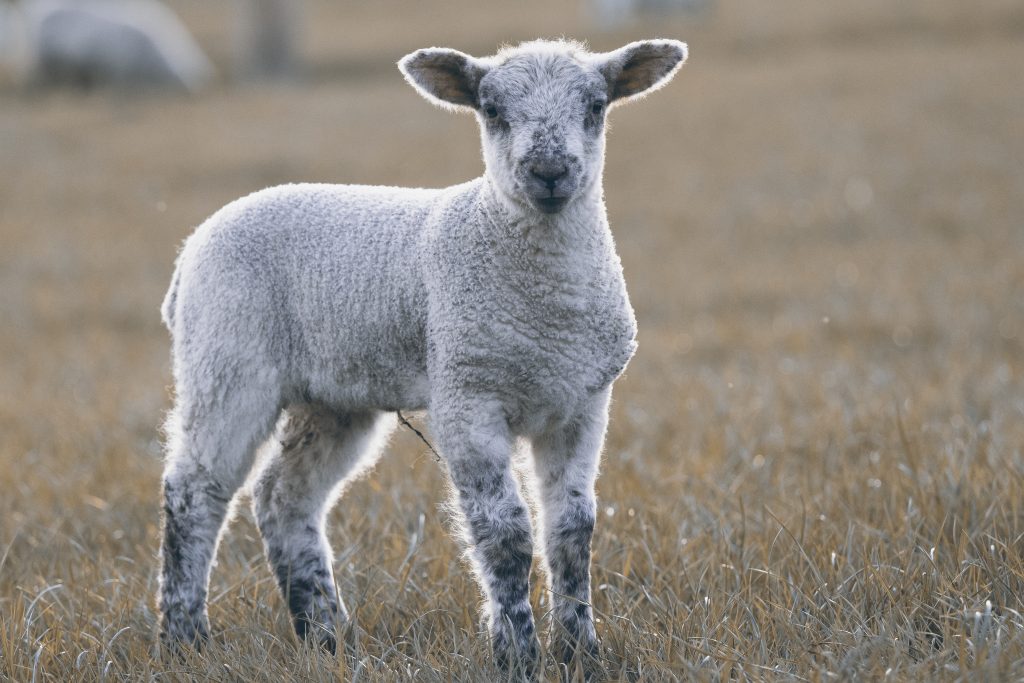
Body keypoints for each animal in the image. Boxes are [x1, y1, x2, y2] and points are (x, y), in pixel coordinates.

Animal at [157, 38, 687, 673]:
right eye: (491, 110)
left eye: (596, 106)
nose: (549, 172)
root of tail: (190, 251)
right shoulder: (466, 394)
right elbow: (505, 534)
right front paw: (517, 655)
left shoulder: (582, 402)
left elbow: (572, 531)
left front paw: (581, 653)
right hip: (225, 359)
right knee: (195, 490)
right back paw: (184, 640)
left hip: (333, 396)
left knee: (284, 495)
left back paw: (326, 635)